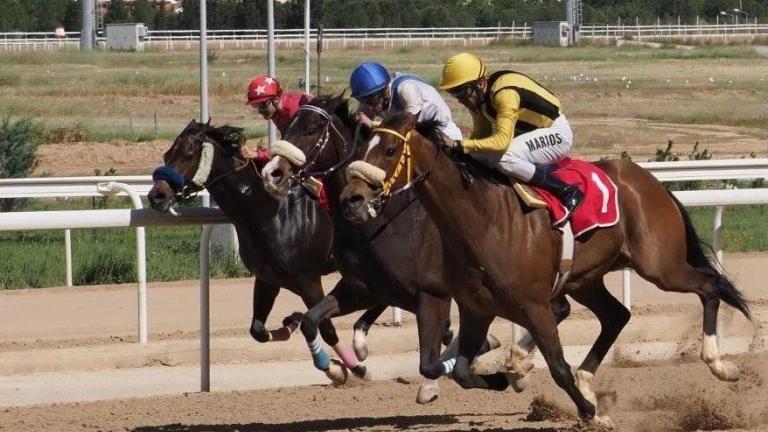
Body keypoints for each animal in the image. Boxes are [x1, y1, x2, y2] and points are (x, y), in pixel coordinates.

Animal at [149, 120, 364, 384]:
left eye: (188, 154)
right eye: (166, 154)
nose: (156, 196)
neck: (271, 212)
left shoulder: (308, 280)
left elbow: (327, 328)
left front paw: (346, 368)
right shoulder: (267, 278)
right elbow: (258, 330)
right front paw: (291, 323)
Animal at [260, 93, 548, 402]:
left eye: (312, 129)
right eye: (287, 125)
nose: (272, 173)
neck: (381, 223)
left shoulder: (430, 293)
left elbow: (432, 358)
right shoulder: (362, 288)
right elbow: (312, 320)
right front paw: (336, 368)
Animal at [342, 112, 752, 426]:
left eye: (390, 150)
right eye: (361, 149)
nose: (352, 198)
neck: (481, 219)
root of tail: (648, 181)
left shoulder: (534, 305)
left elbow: (557, 366)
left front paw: (591, 413)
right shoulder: (477, 308)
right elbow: (460, 371)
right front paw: (503, 378)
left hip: (659, 266)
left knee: (710, 285)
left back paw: (720, 364)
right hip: (586, 279)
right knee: (617, 314)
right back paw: (585, 379)